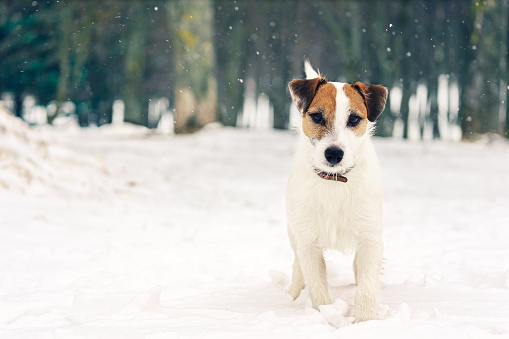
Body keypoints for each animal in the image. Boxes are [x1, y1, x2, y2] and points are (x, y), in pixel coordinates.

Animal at [284, 61, 386, 324]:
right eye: (317, 116)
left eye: (354, 119)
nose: (333, 153)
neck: (334, 181)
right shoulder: (308, 242)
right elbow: (317, 286)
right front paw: (326, 316)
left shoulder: (370, 238)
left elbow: (367, 284)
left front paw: (365, 321)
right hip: (294, 231)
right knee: (297, 264)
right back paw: (292, 294)